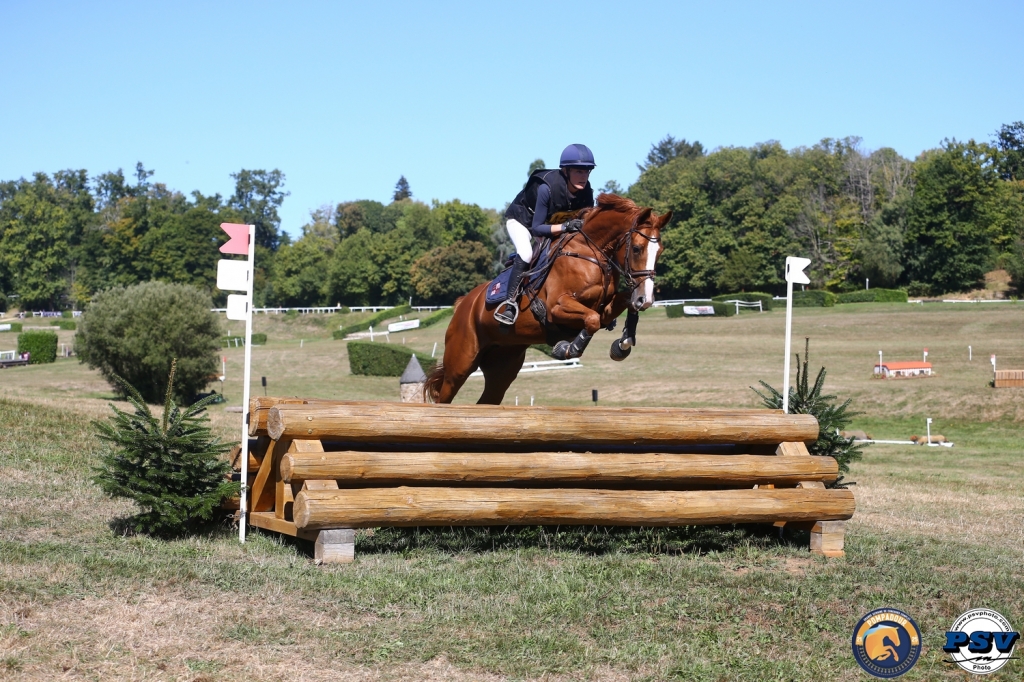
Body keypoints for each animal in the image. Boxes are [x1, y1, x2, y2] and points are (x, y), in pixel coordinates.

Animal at [423, 192, 671, 403]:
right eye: (637, 249)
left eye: (660, 251)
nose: (647, 299)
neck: (590, 252)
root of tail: (463, 304)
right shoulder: (556, 308)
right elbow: (590, 320)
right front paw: (566, 349)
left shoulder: (605, 308)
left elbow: (621, 305)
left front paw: (623, 343)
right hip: (461, 363)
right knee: (444, 397)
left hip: (503, 364)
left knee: (488, 400)